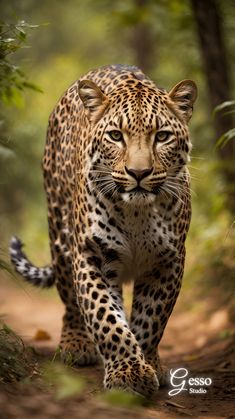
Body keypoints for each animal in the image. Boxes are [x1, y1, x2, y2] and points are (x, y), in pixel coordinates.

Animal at [9, 64, 196, 398]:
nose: (138, 173)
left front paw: (146, 363)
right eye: (115, 136)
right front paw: (128, 372)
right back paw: (75, 345)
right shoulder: (92, 254)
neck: (137, 214)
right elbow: (104, 316)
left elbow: (152, 319)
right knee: (70, 299)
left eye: (162, 136)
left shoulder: (168, 260)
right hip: (59, 232)